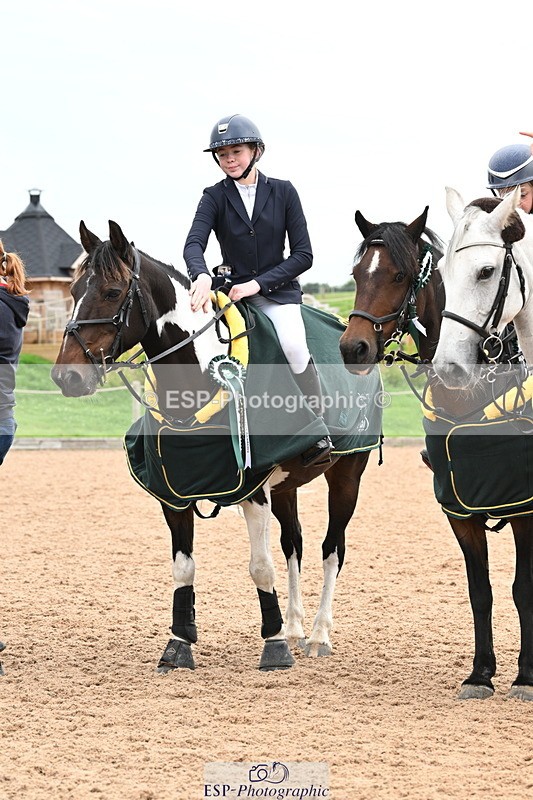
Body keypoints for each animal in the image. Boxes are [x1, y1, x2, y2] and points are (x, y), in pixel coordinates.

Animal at [51, 220, 381, 673]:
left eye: (113, 292)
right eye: (73, 289)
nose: (66, 377)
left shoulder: (253, 490)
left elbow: (260, 567)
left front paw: (273, 646)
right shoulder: (174, 493)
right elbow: (184, 569)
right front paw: (179, 644)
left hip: (347, 473)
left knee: (332, 549)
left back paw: (317, 635)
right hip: (287, 485)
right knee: (293, 545)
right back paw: (296, 628)